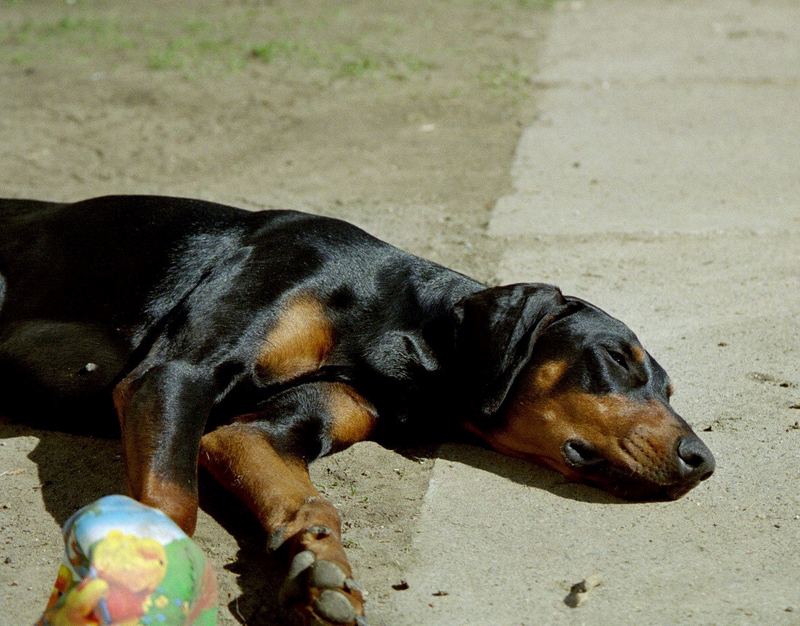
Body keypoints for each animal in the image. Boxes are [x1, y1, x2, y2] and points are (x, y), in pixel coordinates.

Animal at [0, 195, 712, 624]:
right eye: (618, 358)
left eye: (669, 390)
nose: (703, 460)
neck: (394, 325)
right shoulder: (176, 373)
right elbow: (171, 504)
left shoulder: (263, 432)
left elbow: (304, 497)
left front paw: (323, 576)